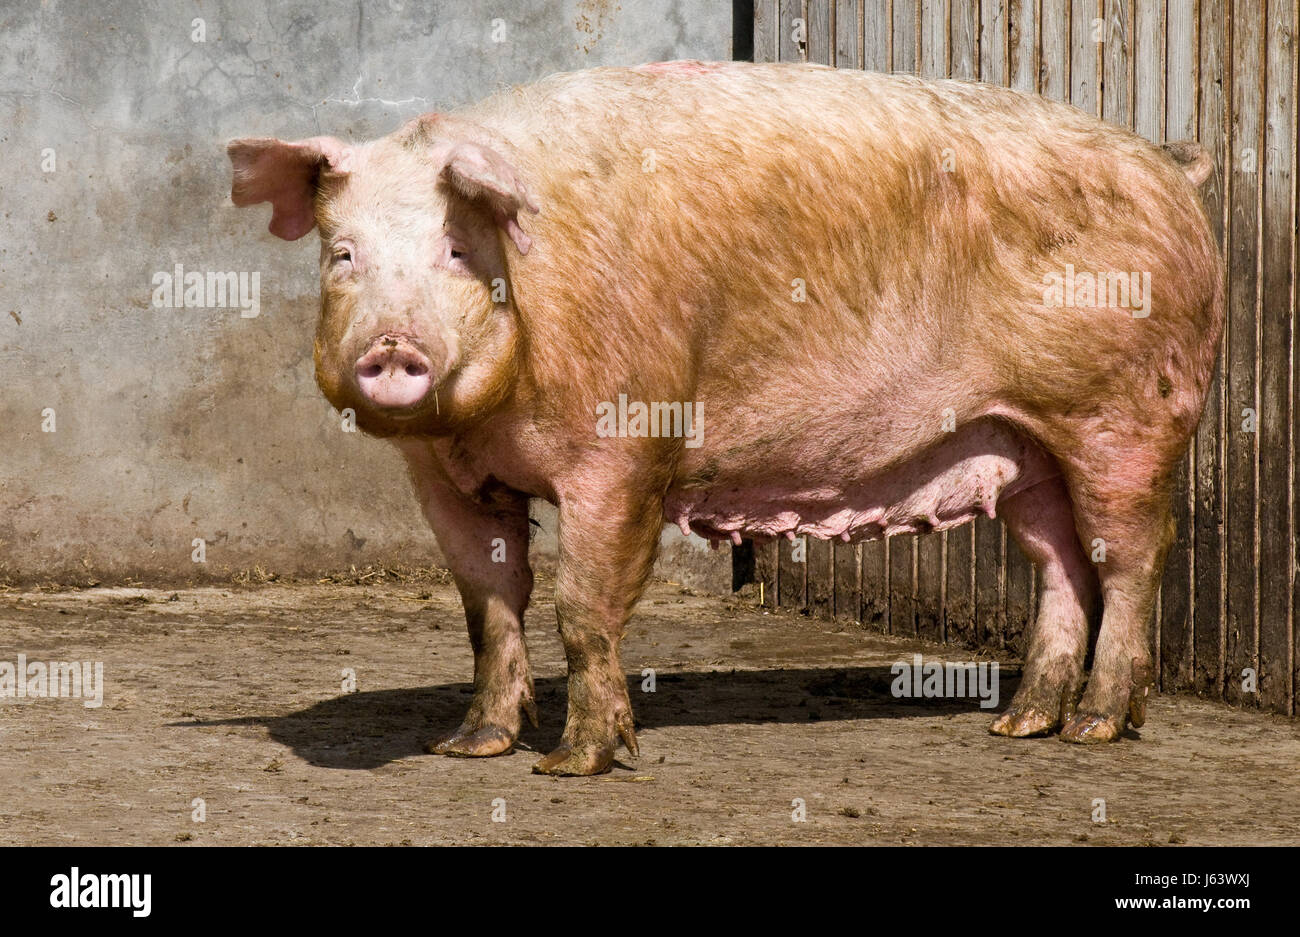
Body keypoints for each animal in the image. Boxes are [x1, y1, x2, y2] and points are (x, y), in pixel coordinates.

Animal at [227, 61, 1223, 775]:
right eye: (342, 253)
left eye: (455, 250)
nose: (393, 346)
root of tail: (1174, 169)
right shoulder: (443, 474)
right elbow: (489, 602)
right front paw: (468, 746)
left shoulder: (624, 448)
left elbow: (581, 603)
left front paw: (574, 764)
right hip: (1023, 442)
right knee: (1061, 563)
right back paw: (1021, 725)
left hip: (1126, 417)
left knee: (1134, 558)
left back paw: (1094, 728)